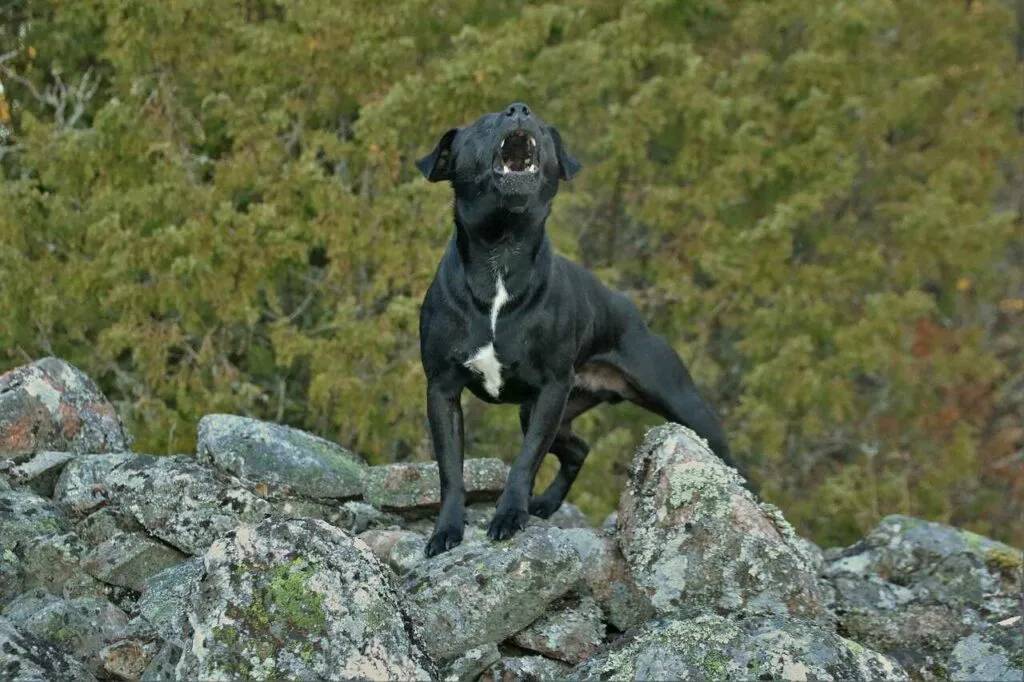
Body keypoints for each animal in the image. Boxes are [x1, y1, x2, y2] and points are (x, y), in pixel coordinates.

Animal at [415, 103, 745, 557]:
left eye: (539, 125)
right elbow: (450, 468)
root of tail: (627, 306)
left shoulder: (551, 387)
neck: (502, 251)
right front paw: (446, 530)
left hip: (680, 402)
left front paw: (509, 515)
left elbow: (525, 460)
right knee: (578, 449)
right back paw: (546, 503)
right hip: (544, 408)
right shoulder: (443, 389)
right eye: (483, 125)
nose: (519, 109)